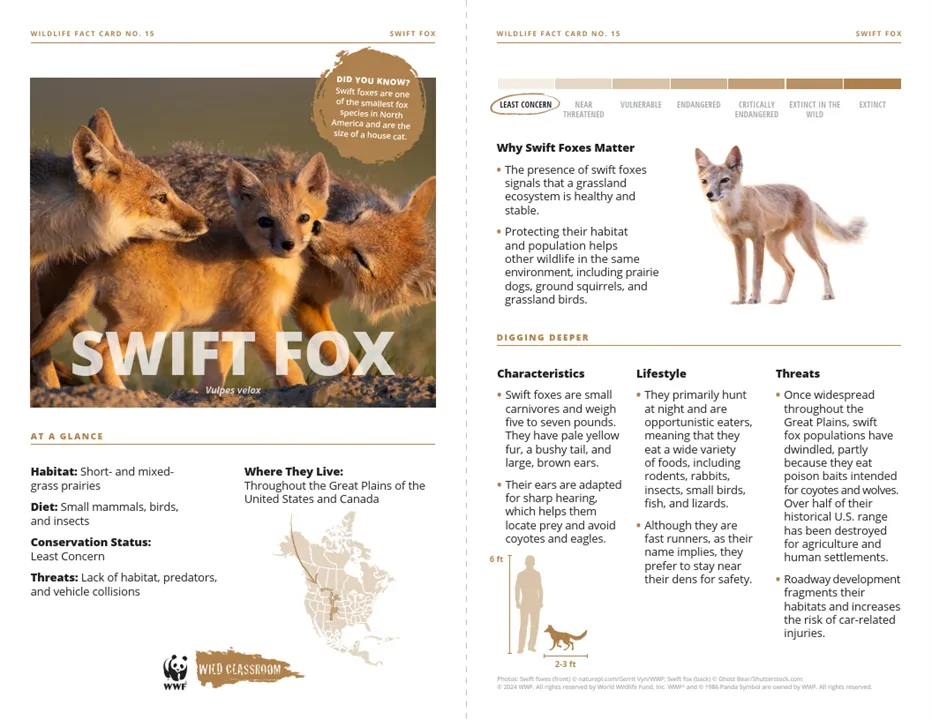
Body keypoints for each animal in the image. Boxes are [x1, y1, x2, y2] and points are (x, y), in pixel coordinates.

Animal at [30, 154, 331, 389]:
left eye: (304, 218)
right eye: (265, 221)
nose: (288, 244)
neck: (272, 265)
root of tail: (100, 263)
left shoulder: (229, 328)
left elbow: (212, 379)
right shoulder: (260, 322)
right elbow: (289, 369)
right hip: (154, 325)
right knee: (100, 356)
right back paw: (127, 396)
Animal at [695, 146, 865, 305]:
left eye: (724, 180)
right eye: (704, 181)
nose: (709, 194)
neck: (733, 213)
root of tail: (808, 196)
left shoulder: (758, 240)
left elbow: (756, 274)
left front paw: (754, 298)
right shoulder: (738, 243)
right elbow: (741, 277)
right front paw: (741, 300)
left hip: (803, 241)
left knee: (823, 265)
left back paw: (829, 294)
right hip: (773, 246)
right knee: (791, 270)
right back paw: (781, 299)